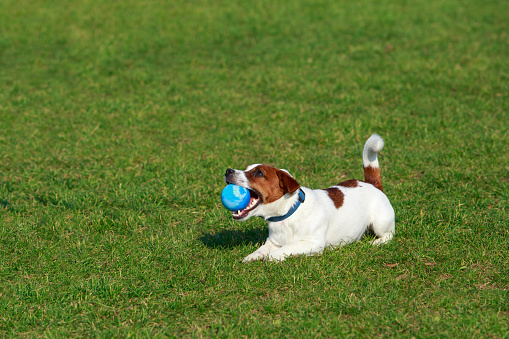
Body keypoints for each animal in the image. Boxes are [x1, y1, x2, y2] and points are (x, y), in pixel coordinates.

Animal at [224, 134, 394, 262]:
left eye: (259, 173)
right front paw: (253, 256)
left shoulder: (313, 243)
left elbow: (285, 248)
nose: (228, 171)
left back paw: (377, 242)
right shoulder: (273, 241)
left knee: (389, 235)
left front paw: (273, 257)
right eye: (246, 168)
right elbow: (262, 249)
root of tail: (372, 184)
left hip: (380, 222)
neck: (288, 213)